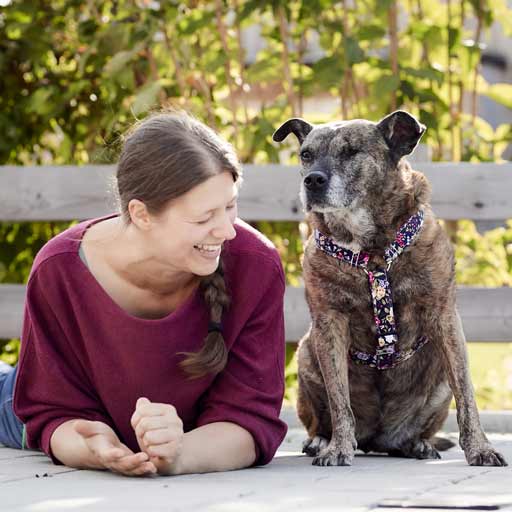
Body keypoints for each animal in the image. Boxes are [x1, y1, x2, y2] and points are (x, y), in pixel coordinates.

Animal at [274, 112, 506, 468]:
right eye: (306, 155)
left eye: (351, 152)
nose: (312, 180)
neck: (371, 248)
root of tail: (376, 439)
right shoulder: (329, 322)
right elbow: (340, 400)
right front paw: (338, 448)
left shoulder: (444, 317)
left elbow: (467, 396)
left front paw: (480, 448)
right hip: (306, 357)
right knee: (321, 418)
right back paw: (320, 440)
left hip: (438, 381)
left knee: (419, 429)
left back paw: (418, 445)